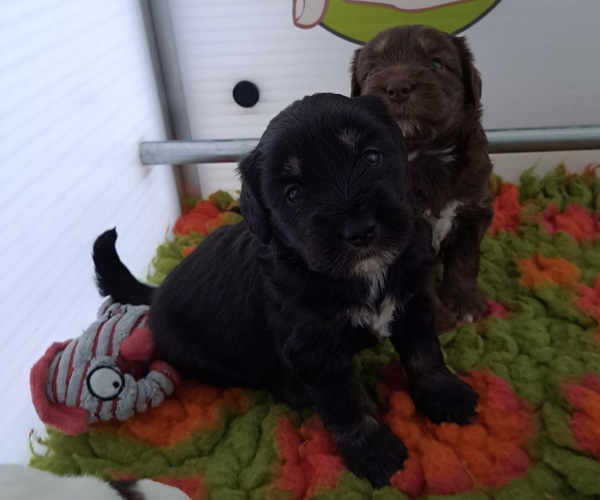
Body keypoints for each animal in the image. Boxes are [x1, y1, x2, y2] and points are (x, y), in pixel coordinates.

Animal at [93, 93, 477, 487]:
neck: (361, 275)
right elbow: (345, 402)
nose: (360, 230)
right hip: (211, 356)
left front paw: (446, 396)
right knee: (253, 376)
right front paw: (374, 452)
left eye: (372, 157)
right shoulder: (314, 352)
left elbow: (425, 354)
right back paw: (292, 388)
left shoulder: (412, 303)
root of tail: (154, 295)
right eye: (293, 194)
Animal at [350, 25, 494, 332]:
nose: (397, 88)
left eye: (436, 65)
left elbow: (466, 260)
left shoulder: (473, 208)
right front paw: (438, 321)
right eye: (374, 70)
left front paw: (465, 304)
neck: (424, 156)